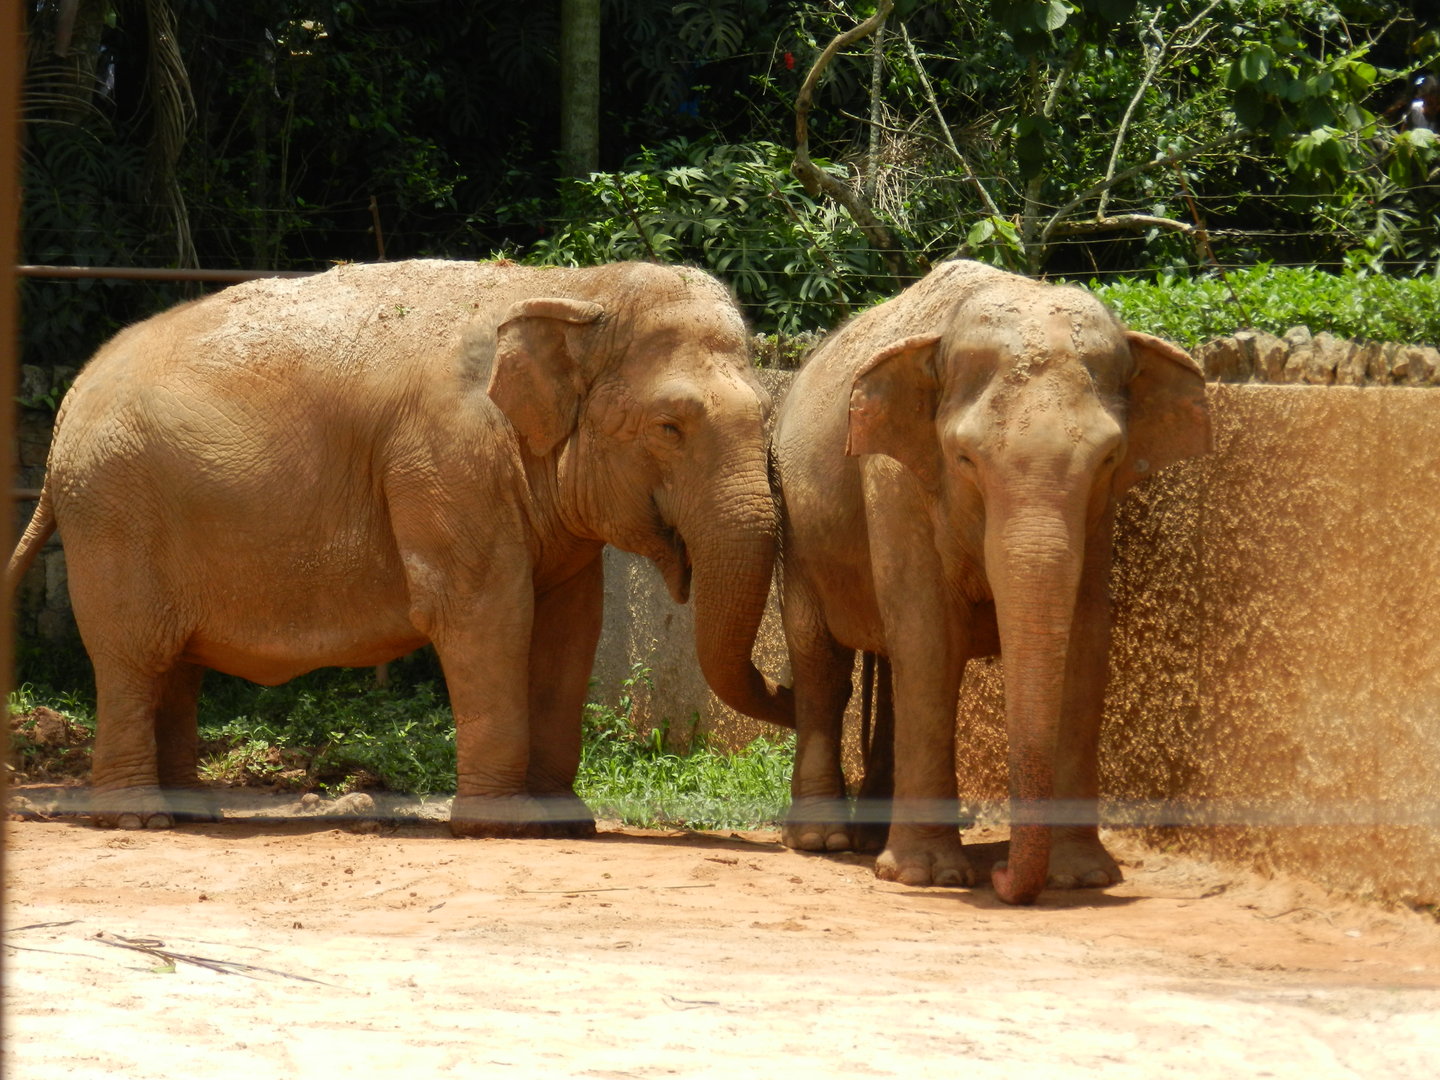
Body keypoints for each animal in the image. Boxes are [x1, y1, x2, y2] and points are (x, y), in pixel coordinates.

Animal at [7, 258, 793, 833]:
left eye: (765, 413)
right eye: (670, 427)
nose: (788, 690)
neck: (574, 286)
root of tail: (70, 399)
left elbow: (570, 629)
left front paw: (564, 822)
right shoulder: (447, 460)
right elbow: (484, 614)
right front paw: (500, 826)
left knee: (177, 663)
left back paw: (190, 814)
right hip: (112, 510)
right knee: (133, 655)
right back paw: (139, 819)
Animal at [772, 259, 1210, 905]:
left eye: (1109, 459)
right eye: (965, 460)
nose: (1001, 875)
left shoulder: (1096, 514)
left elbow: (1085, 642)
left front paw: (1080, 877)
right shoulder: (895, 478)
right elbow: (930, 638)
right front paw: (925, 877)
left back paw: (873, 837)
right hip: (796, 525)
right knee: (821, 659)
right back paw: (824, 841)